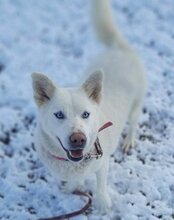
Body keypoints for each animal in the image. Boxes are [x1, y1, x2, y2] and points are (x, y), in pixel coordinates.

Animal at [31, 0, 147, 213]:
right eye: (59, 115)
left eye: (86, 114)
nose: (78, 139)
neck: (72, 162)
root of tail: (119, 48)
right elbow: (76, 180)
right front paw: (72, 187)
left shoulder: (102, 162)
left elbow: (100, 184)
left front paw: (102, 203)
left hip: (136, 105)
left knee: (134, 123)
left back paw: (129, 141)